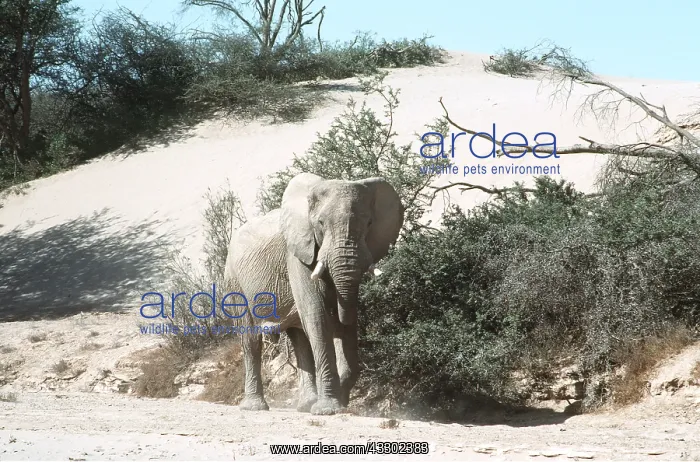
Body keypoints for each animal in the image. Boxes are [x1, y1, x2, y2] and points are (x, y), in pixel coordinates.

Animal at [222, 173, 404, 415]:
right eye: (320, 223)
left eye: (369, 223)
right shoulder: (298, 255)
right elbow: (318, 317)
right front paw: (328, 409)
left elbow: (342, 321)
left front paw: (337, 403)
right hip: (234, 282)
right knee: (250, 339)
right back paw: (255, 407)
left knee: (299, 339)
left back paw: (305, 405)